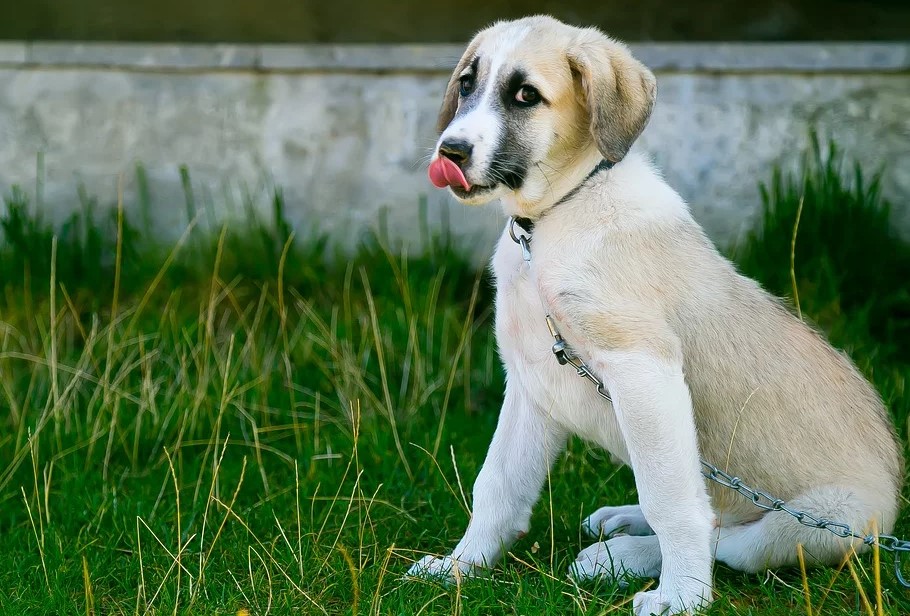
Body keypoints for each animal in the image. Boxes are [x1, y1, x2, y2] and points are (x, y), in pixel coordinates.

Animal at [408, 15, 904, 616]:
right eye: (466, 85)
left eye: (525, 96)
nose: (450, 151)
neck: (555, 217)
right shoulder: (532, 383)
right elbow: (497, 484)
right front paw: (462, 567)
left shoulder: (643, 370)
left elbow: (671, 498)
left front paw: (681, 596)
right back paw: (622, 523)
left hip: (830, 519)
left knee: (730, 537)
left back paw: (620, 558)